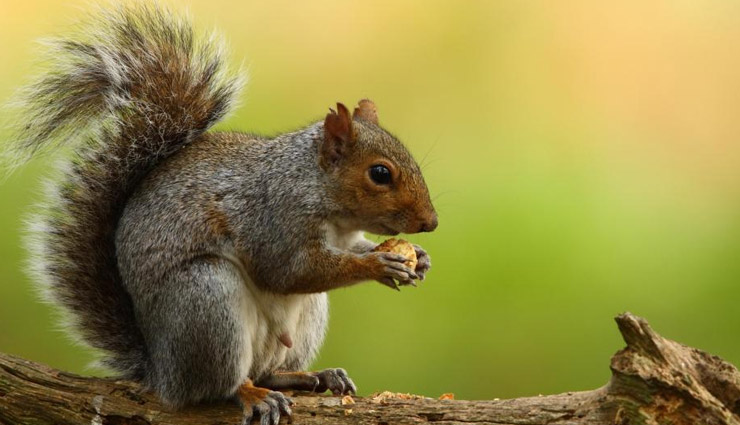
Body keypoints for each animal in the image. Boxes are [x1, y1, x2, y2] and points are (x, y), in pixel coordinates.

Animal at [8, 3, 437, 424]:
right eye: (380, 173)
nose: (430, 223)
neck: (321, 195)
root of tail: (162, 374)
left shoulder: (344, 237)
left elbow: (351, 250)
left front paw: (417, 259)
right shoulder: (273, 218)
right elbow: (288, 271)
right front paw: (379, 265)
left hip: (303, 318)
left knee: (270, 370)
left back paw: (313, 375)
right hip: (207, 299)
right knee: (219, 386)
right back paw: (252, 395)